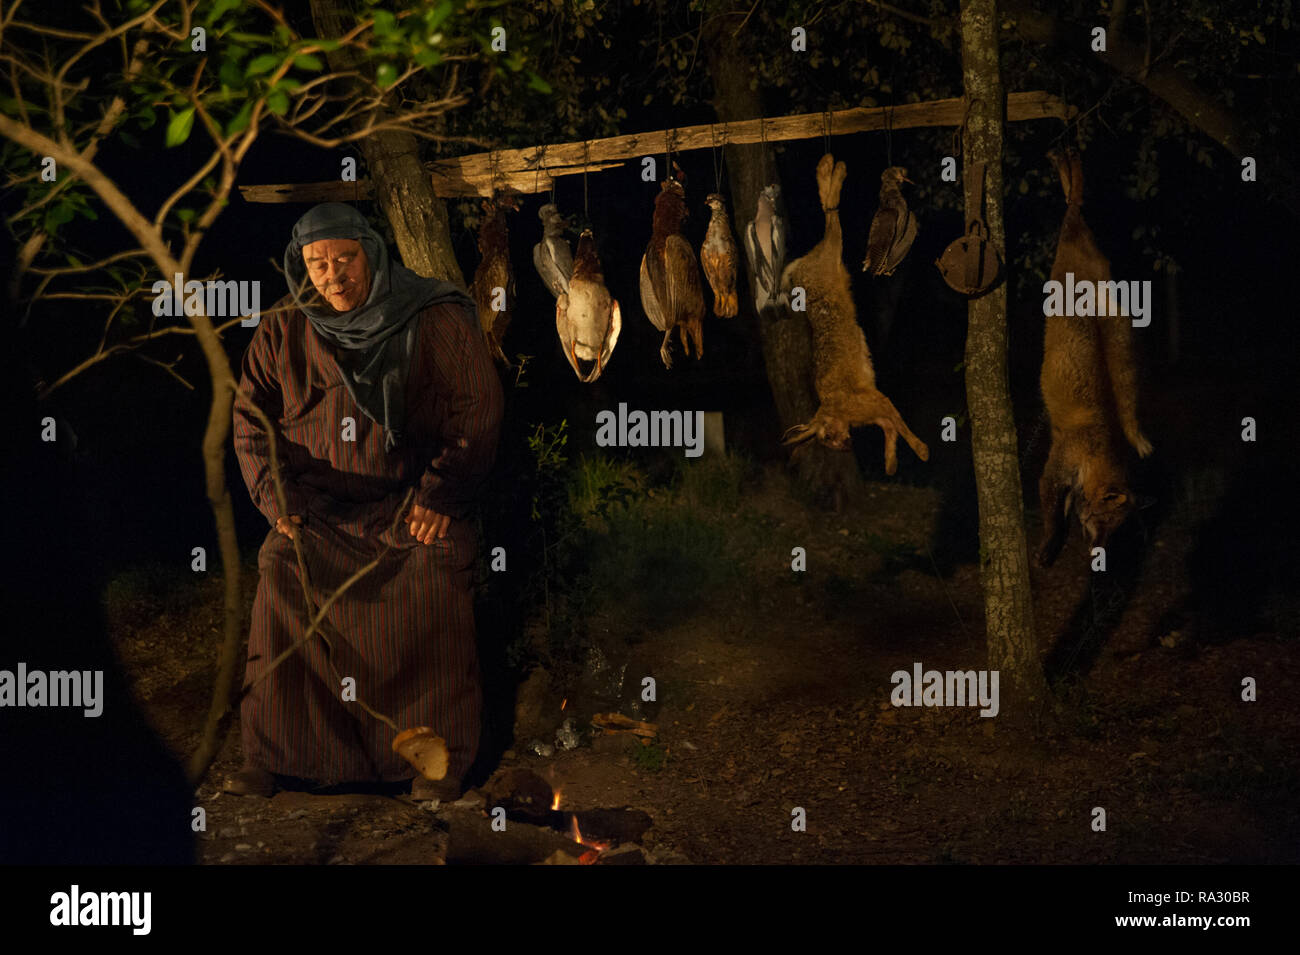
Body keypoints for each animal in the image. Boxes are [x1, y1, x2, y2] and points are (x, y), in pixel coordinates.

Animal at [1034, 149, 1159, 566]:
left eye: (1116, 532)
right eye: (1100, 522)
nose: (1098, 555)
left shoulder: (1069, 482)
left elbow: (1061, 514)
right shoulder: (1056, 468)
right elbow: (1051, 517)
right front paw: (1047, 547)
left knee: (1073, 201)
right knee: (1072, 207)